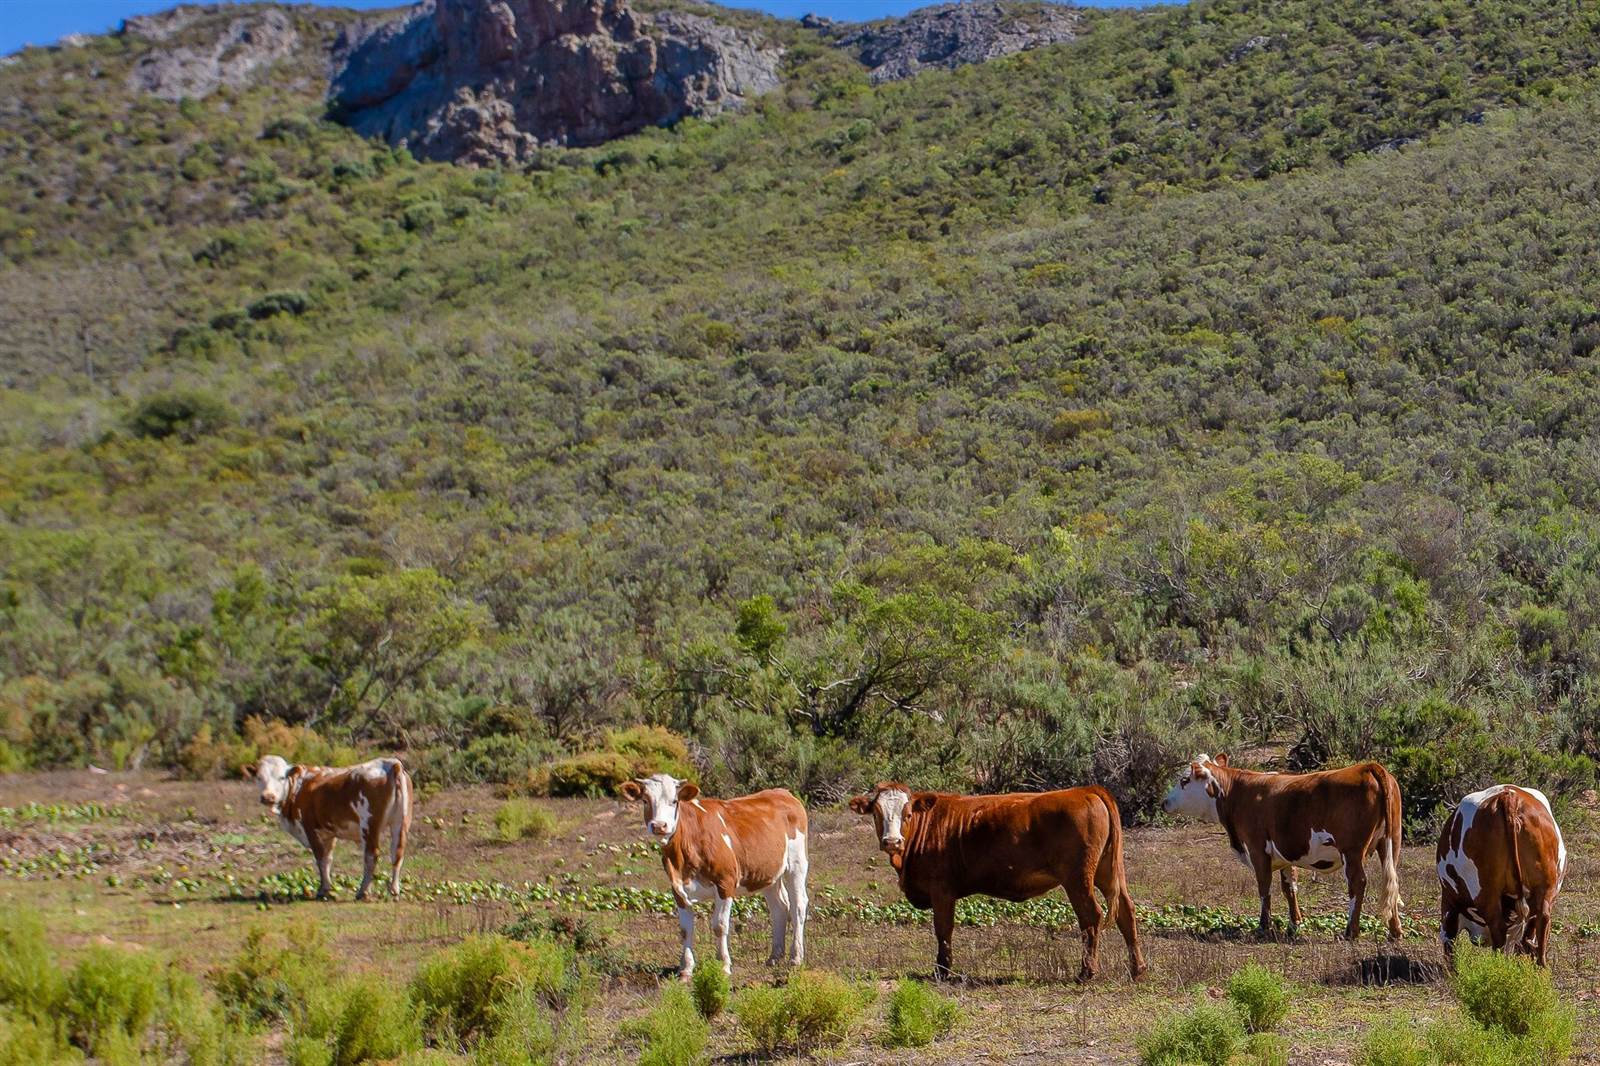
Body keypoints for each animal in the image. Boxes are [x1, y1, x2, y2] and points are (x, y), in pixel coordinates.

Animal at [246, 752, 412, 902]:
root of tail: (391, 763)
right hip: (401, 823)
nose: (268, 797)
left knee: (371, 856)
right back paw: (394, 890)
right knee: (397, 853)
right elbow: (328, 858)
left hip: (369, 825)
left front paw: (323, 890)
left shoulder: (310, 828)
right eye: (259, 777)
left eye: (281, 777)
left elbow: (320, 858)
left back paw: (363, 892)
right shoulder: (329, 833)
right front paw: (328, 887)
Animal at [614, 768, 806, 973]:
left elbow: (719, 926)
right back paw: (774, 957)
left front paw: (723, 965)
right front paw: (686, 969)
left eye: (674, 801)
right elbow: (685, 930)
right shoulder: (677, 889)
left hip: (797, 863)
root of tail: (782, 793)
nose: (659, 826)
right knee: (779, 907)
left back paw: (796, 957)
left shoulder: (726, 882)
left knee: (798, 906)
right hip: (767, 872)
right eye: (645, 800)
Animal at [844, 781, 1145, 979]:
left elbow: (943, 930)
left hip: (1078, 877)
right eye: (877, 813)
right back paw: (1137, 968)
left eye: (907, 814)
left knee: (1091, 916)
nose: (892, 841)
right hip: (1108, 871)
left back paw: (1086, 971)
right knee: (1126, 911)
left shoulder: (942, 890)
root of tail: (1086, 790)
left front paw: (942, 970)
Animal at [1164, 745, 1401, 941]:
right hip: (1390, 843)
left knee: (1357, 882)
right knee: (1392, 881)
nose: (1164, 802)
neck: (1237, 792)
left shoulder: (1257, 848)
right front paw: (1294, 925)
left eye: (1184, 780)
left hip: (1351, 851)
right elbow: (1289, 888)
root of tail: (1368, 767)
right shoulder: (1285, 855)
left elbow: (1264, 887)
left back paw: (1351, 931)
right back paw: (1395, 931)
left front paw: (1263, 927)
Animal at [1440, 781, 1561, 960]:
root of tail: (1508, 797)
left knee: (1498, 929)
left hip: (1485, 891)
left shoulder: (1449, 901)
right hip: (1545, 887)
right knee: (1542, 922)